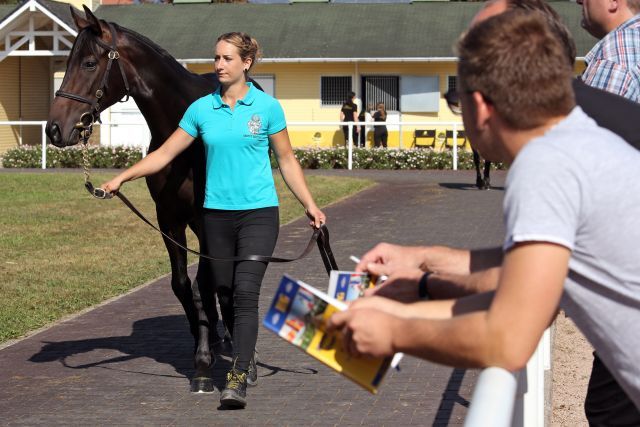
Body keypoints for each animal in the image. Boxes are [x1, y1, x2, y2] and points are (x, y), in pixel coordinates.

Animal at [46, 5, 248, 394]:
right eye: (68, 61)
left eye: (89, 63)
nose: (54, 130)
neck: (182, 131)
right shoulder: (168, 219)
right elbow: (182, 284)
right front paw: (202, 348)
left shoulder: (207, 219)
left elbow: (203, 281)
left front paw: (206, 359)